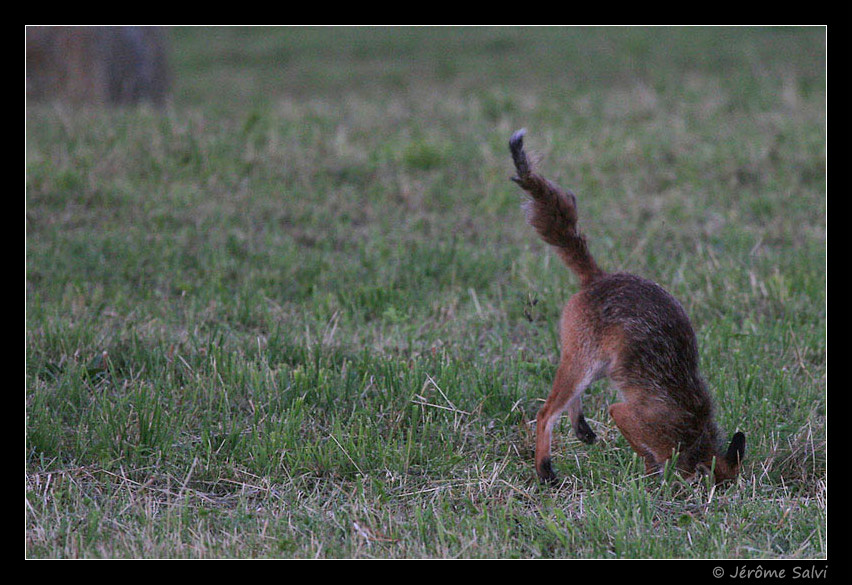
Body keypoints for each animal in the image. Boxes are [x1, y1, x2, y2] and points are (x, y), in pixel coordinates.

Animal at [509, 128, 745, 485]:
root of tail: (600, 277)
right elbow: (646, 451)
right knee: (545, 412)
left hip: (596, 365)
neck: (692, 432)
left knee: (569, 401)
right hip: (584, 361)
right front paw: (652, 482)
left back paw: (581, 429)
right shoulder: (629, 416)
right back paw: (544, 469)